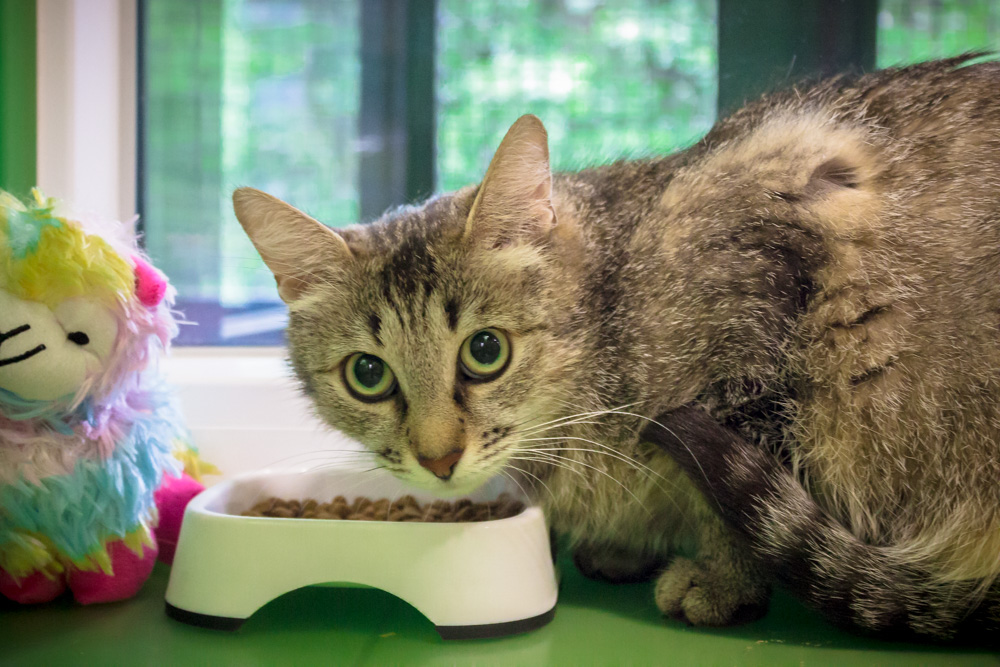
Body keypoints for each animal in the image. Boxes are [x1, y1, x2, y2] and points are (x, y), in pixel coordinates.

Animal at [233, 54, 1000, 639]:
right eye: (367, 373)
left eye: (485, 351)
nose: (439, 458)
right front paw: (624, 546)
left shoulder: (756, 328)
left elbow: (738, 487)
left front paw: (723, 580)